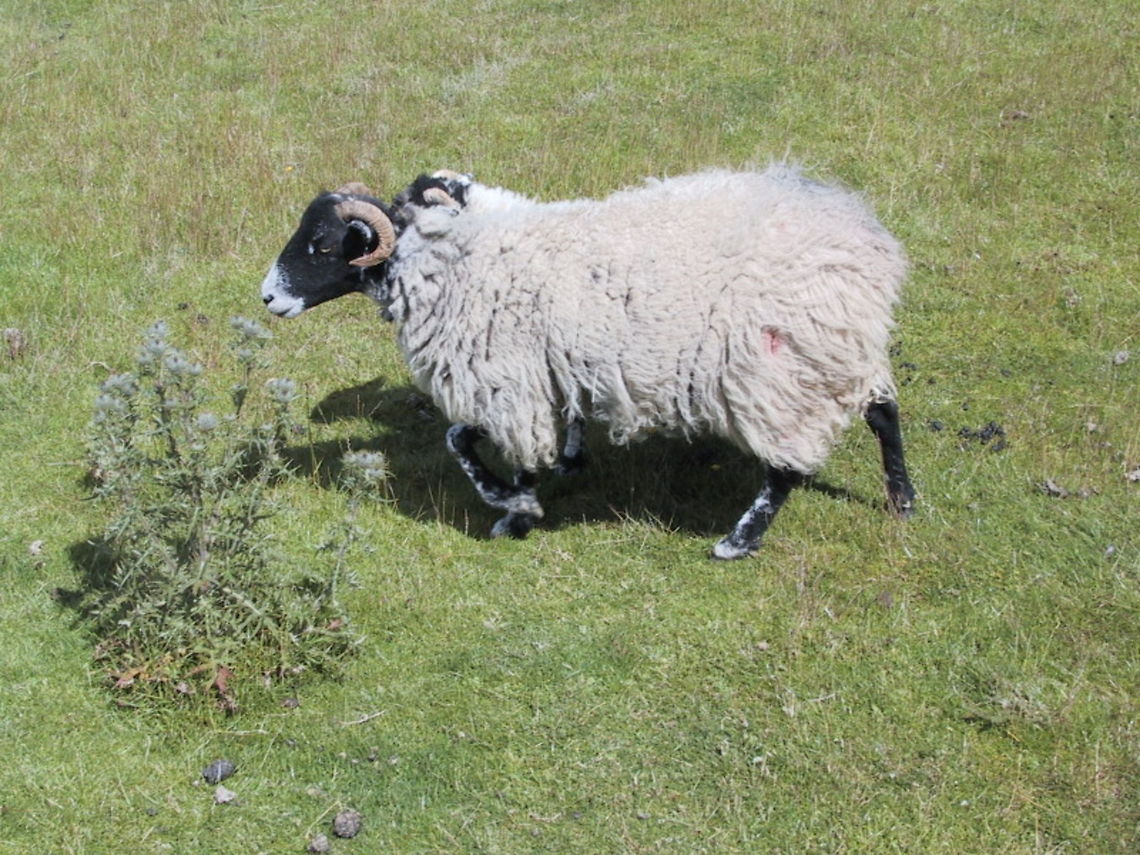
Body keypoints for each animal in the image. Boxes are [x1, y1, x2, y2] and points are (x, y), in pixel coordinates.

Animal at [260, 167, 916, 558]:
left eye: (322, 245)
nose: (266, 297)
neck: (456, 258)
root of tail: (864, 241)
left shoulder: (507, 381)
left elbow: (469, 444)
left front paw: (515, 509)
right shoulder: (540, 376)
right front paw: (548, 480)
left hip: (775, 368)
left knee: (785, 467)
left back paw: (738, 539)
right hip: (841, 345)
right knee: (883, 409)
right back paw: (903, 499)